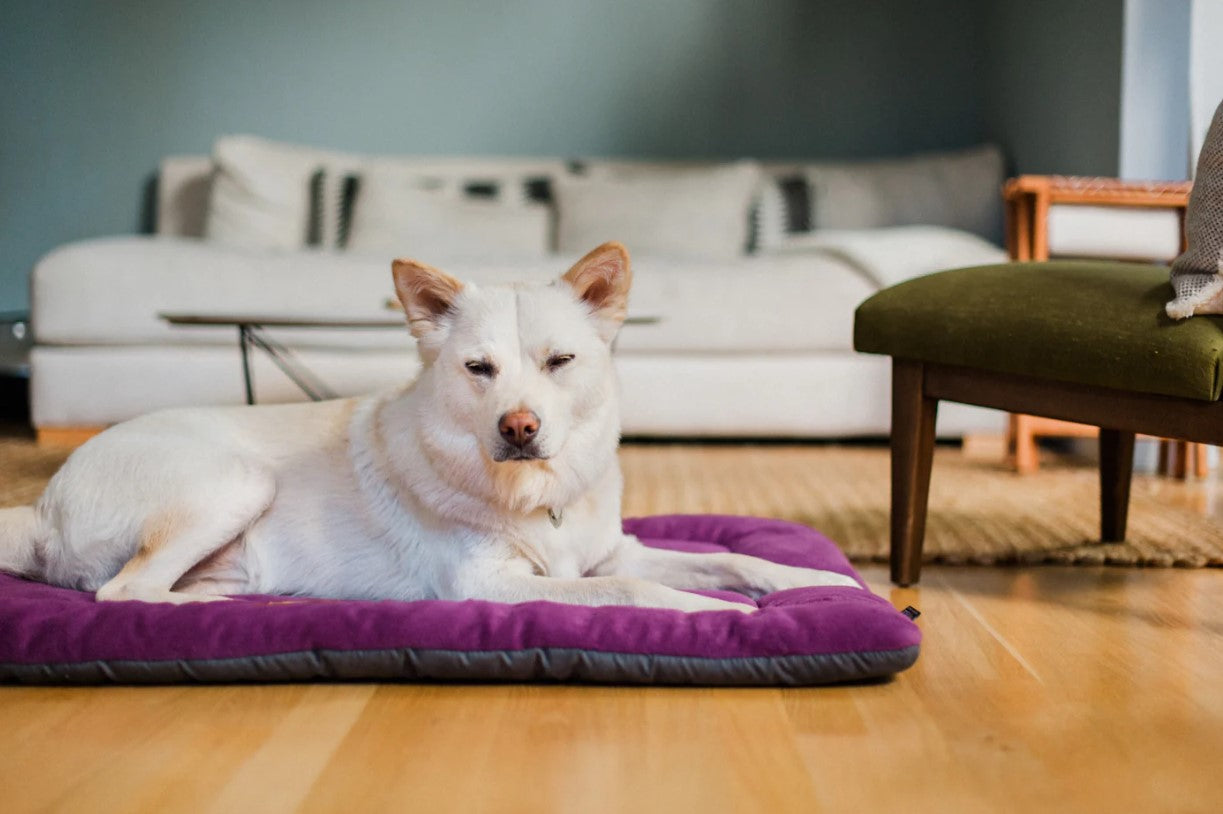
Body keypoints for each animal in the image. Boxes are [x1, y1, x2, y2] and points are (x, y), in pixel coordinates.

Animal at [2, 240, 860, 608]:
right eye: (479, 369)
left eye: (559, 361)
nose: (518, 428)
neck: (536, 493)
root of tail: (40, 508)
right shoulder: (492, 585)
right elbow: (632, 594)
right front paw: (717, 616)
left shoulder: (616, 549)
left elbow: (733, 559)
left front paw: (823, 584)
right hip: (234, 483)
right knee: (125, 592)